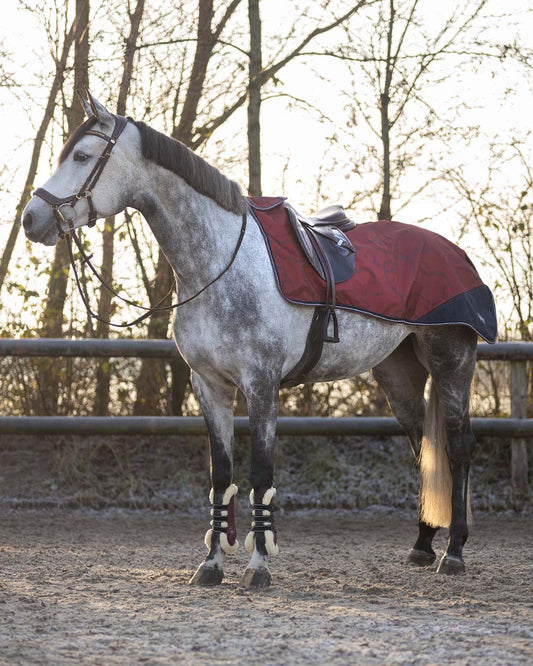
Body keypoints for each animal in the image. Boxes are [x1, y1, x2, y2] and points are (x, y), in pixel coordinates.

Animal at [22, 92, 482, 588]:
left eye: (82, 156)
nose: (31, 219)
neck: (218, 263)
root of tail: (459, 255)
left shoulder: (261, 384)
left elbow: (260, 474)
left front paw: (259, 565)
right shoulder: (210, 386)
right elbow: (221, 476)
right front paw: (211, 565)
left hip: (452, 365)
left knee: (457, 451)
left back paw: (453, 552)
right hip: (399, 376)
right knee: (424, 450)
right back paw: (422, 545)